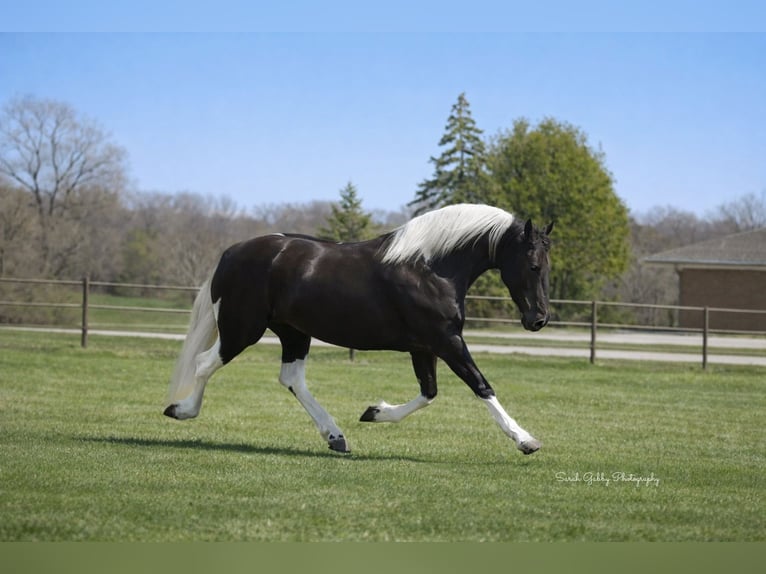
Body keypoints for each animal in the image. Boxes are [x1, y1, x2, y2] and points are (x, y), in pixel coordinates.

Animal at [164, 203, 554, 455]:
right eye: (533, 265)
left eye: (547, 265)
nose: (538, 320)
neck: (430, 268)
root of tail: (231, 253)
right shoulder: (446, 341)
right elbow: (481, 386)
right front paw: (526, 440)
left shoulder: (425, 346)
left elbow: (428, 393)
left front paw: (374, 412)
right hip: (243, 329)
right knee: (204, 363)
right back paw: (181, 410)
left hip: (293, 332)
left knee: (292, 379)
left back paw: (335, 437)